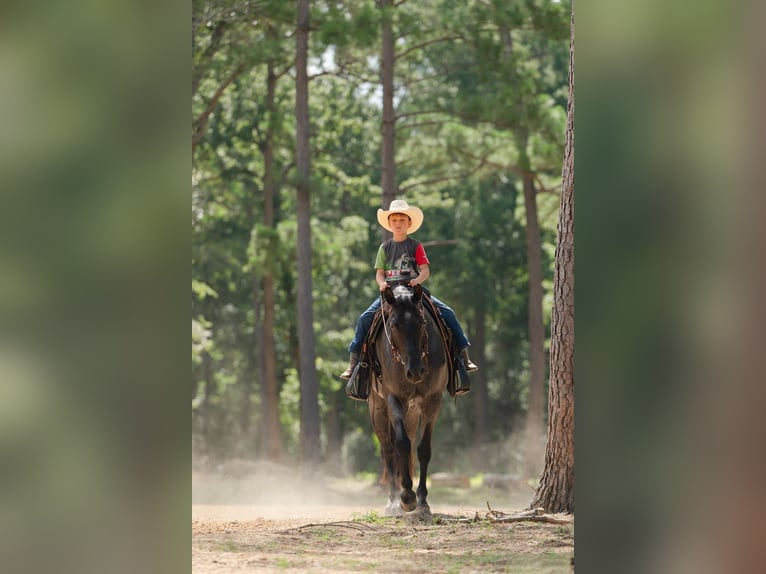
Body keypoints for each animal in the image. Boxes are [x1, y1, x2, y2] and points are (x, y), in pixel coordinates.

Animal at [368, 284, 450, 518]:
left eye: (422, 322)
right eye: (394, 325)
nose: (415, 371)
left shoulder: (433, 400)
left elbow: (423, 449)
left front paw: (422, 501)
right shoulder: (393, 398)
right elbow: (401, 445)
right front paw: (406, 498)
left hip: (412, 411)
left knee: (410, 444)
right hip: (377, 408)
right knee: (388, 449)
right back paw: (393, 501)